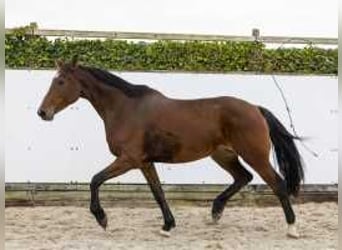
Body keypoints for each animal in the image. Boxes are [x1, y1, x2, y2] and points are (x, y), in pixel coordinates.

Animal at [37, 57, 304, 238]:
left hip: (254, 156)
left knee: (277, 184)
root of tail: (255, 108)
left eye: (61, 81)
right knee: (243, 177)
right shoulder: (145, 162)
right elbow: (158, 193)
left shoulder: (129, 159)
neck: (126, 109)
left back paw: (292, 228)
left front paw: (102, 218)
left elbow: (95, 180)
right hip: (223, 155)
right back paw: (216, 212)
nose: (42, 112)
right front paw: (167, 226)